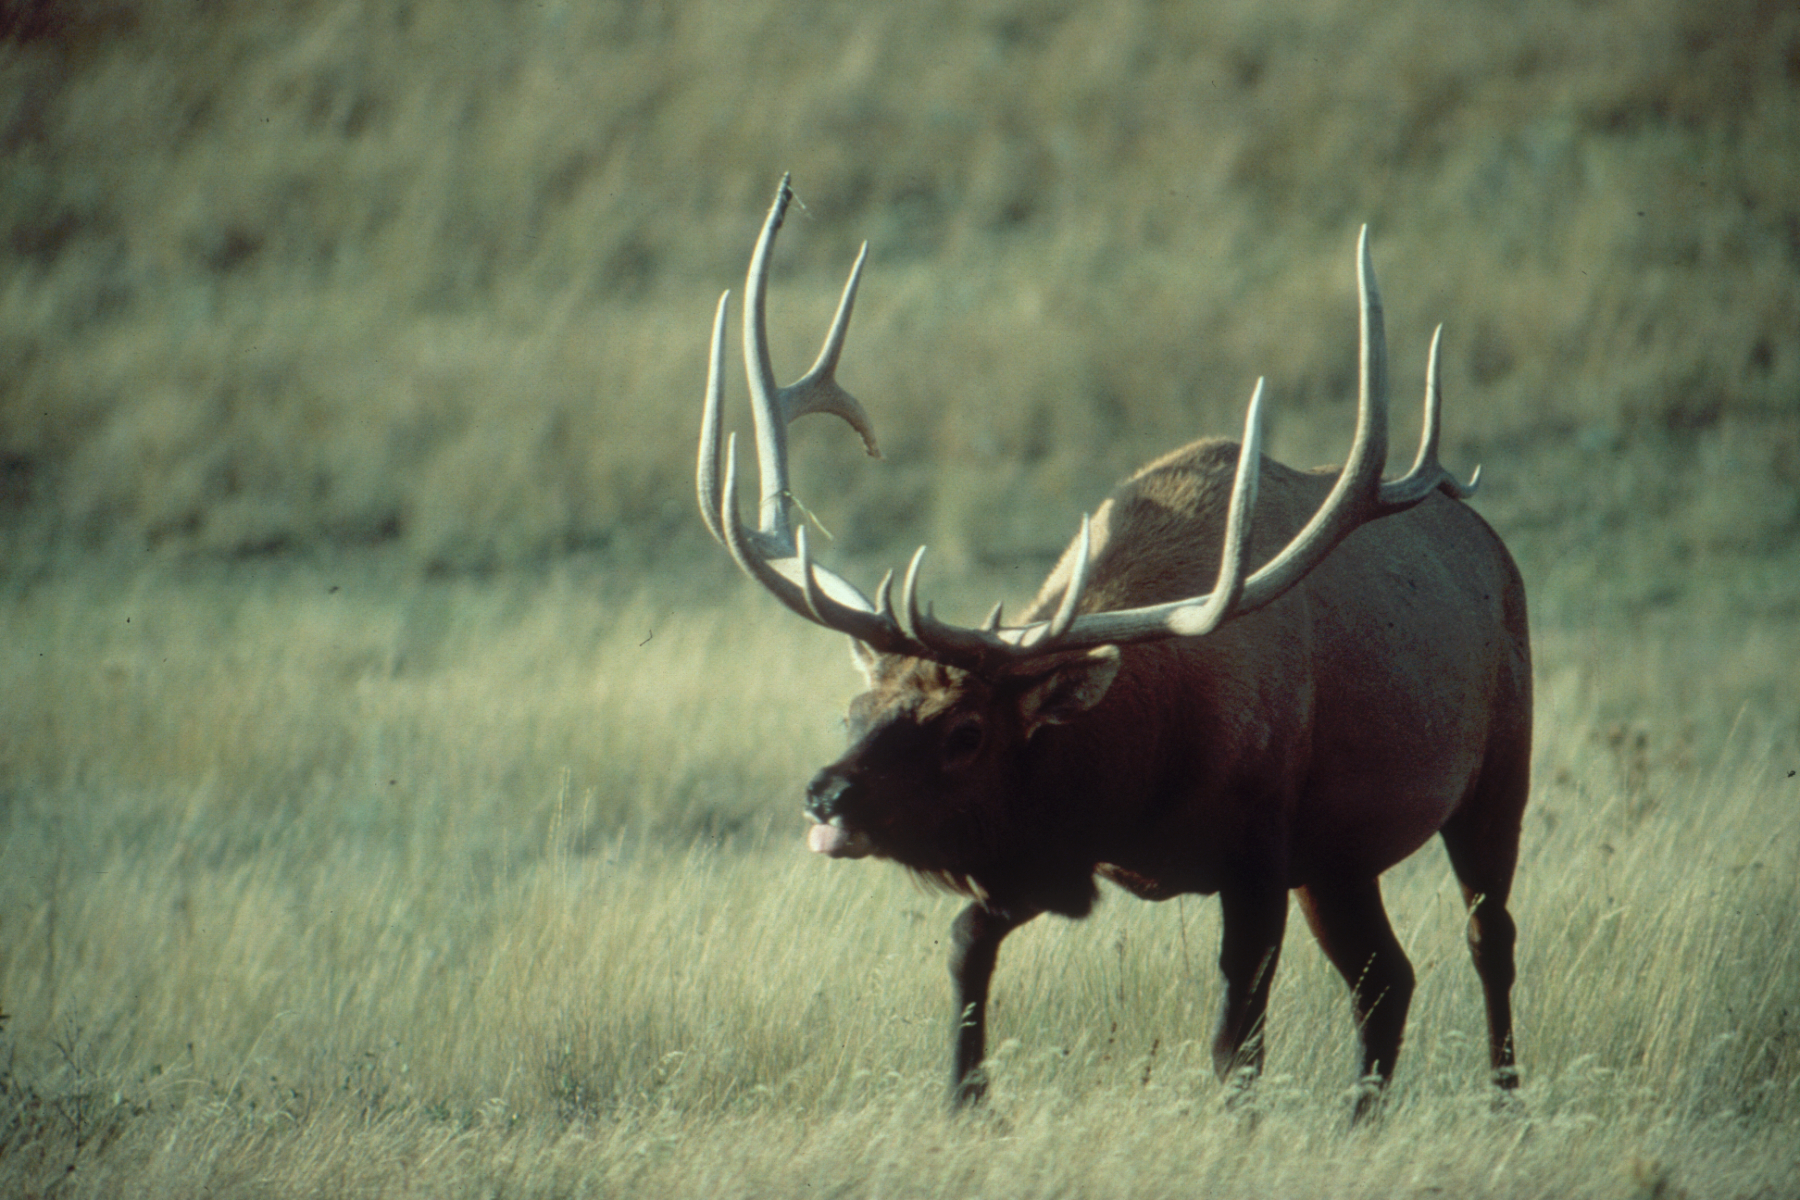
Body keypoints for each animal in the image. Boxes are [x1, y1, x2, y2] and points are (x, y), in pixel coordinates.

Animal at [694, 176, 1526, 1115]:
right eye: (855, 708)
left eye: (966, 732)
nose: (826, 796)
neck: (1143, 768)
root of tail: (1494, 549)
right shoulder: (1057, 848)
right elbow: (965, 942)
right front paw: (965, 1100)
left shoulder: (1260, 847)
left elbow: (1237, 1041)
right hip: (1341, 859)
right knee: (1388, 979)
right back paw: (1362, 1120)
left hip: (1495, 775)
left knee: (1487, 940)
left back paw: (1506, 1101)